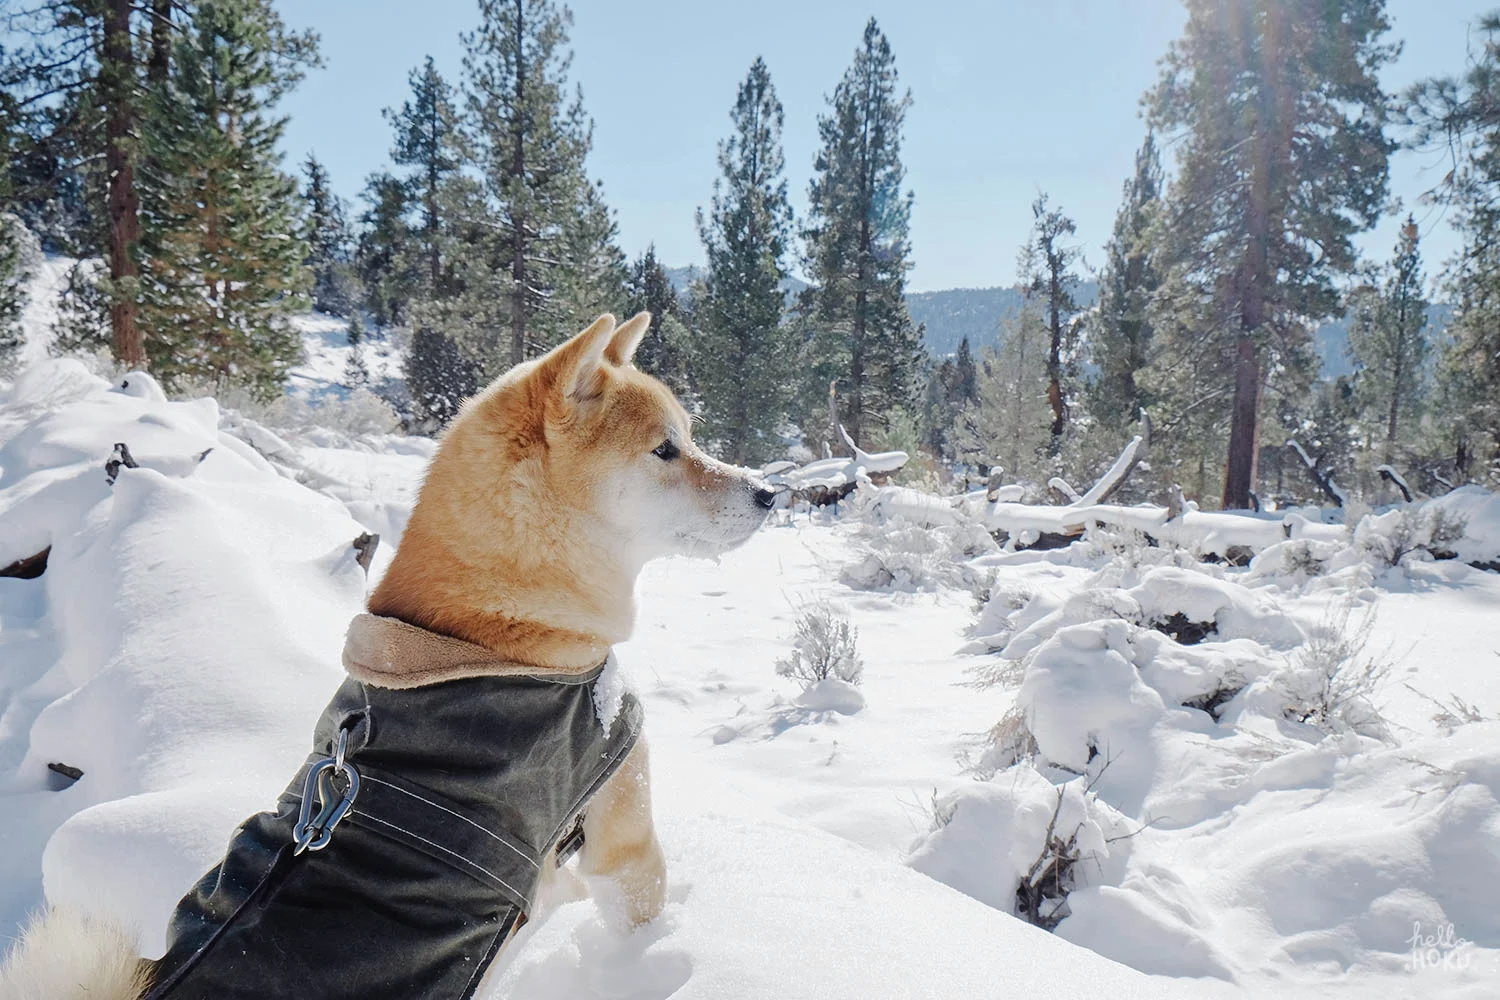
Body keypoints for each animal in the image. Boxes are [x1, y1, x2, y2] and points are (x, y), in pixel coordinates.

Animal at [0, 312, 775, 998]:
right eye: (666, 449)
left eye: (690, 438)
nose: (772, 492)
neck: (491, 632)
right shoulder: (623, 831)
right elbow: (635, 908)